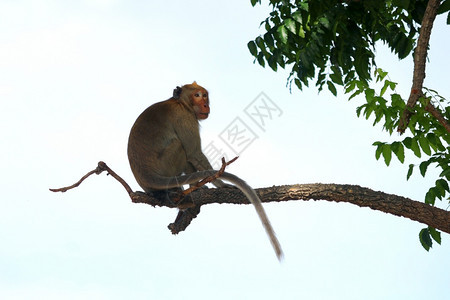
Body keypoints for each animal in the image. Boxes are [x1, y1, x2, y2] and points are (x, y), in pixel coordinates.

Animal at [126, 81, 284, 258]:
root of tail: (145, 176)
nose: (205, 104)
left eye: (205, 95)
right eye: (197, 95)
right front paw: (222, 184)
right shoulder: (185, 118)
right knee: (181, 146)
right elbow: (194, 153)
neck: (182, 103)